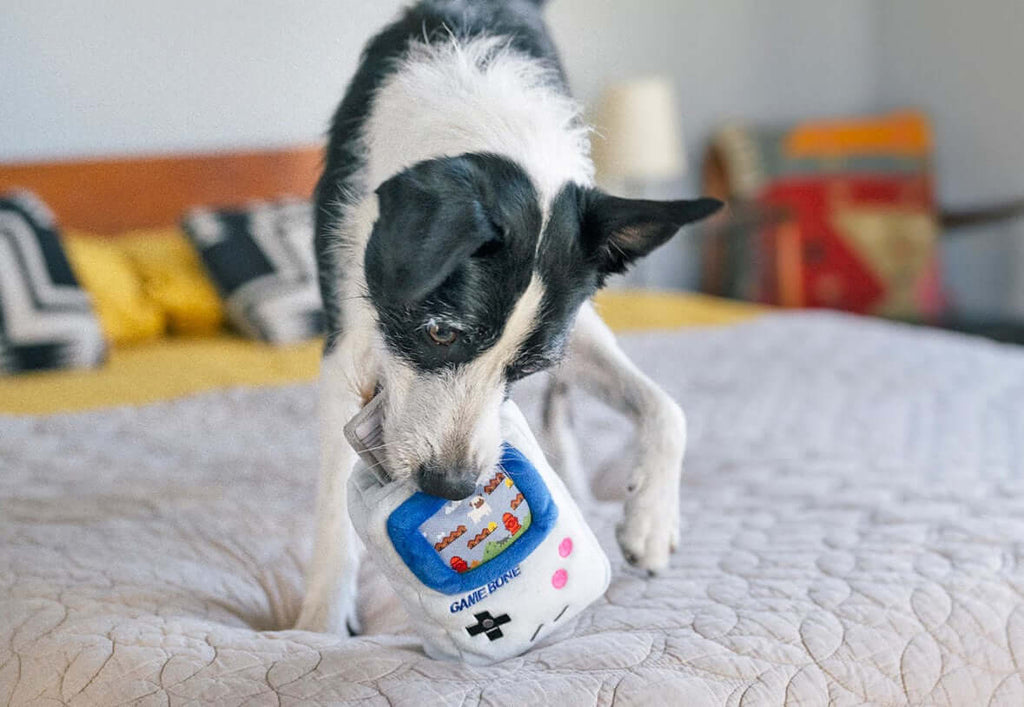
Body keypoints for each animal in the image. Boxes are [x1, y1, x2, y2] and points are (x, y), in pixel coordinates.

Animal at [296, 0, 724, 631]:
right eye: (440, 332)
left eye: (526, 367)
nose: (450, 486)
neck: (488, 125)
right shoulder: (348, 330)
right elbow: (329, 498)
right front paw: (319, 624)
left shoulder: (572, 327)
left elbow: (666, 408)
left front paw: (651, 521)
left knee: (565, 413)